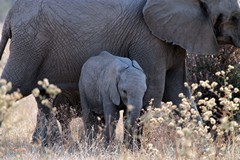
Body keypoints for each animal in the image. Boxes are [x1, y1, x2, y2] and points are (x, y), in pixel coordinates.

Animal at [0, 0, 240, 148]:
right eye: (235, 17)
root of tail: (11, 14)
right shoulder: (147, 38)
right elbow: (154, 92)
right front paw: (135, 149)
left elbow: (179, 93)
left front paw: (202, 147)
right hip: (30, 43)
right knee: (14, 84)